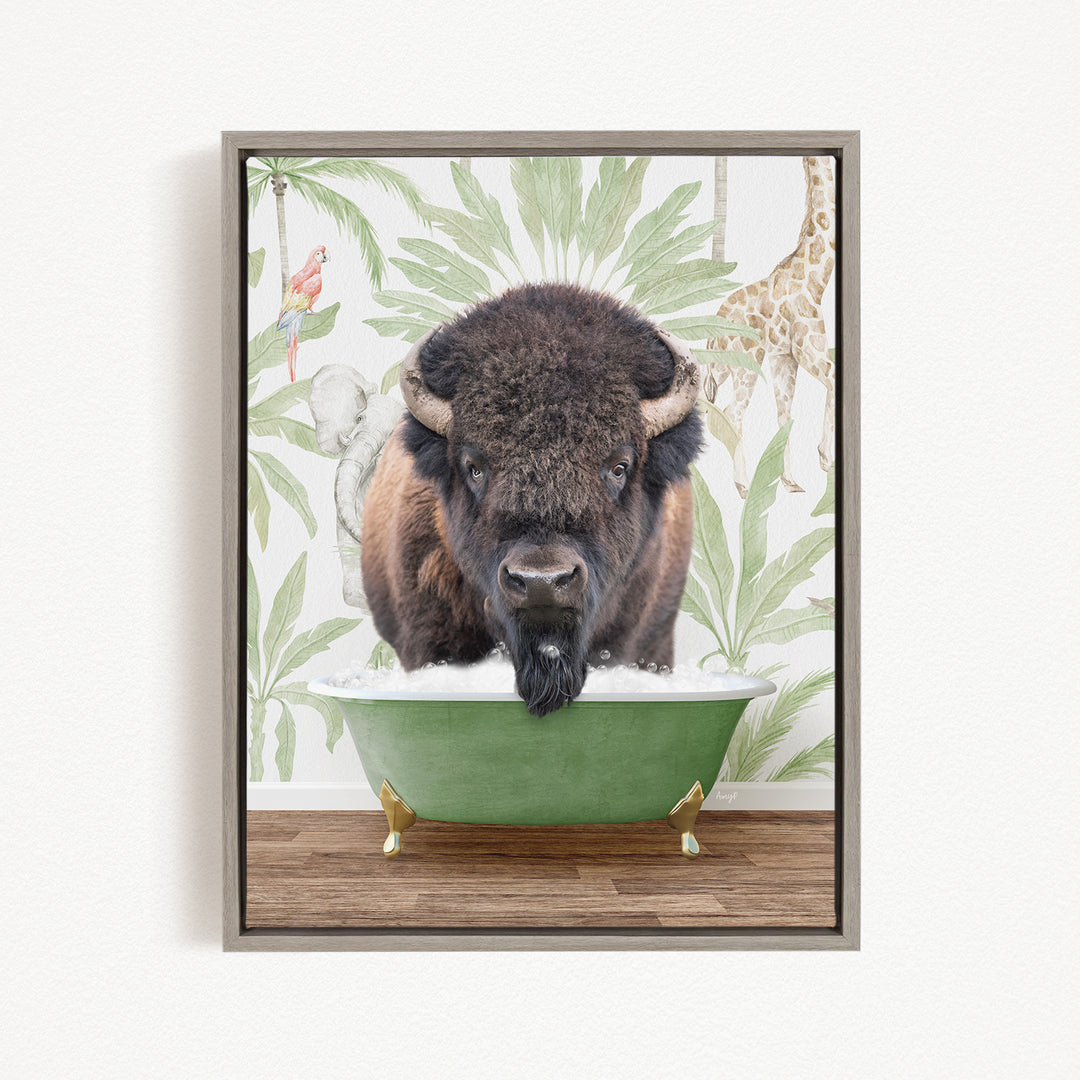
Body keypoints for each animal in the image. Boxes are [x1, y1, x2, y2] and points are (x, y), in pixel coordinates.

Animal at [705, 156, 836, 497]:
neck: (816, 279)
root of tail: (712, 340)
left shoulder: (783, 357)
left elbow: (784, 415)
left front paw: (790, 480)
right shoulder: (809, 349)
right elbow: (832, 382)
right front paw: (825, 458)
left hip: (723, 370)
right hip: (747, 365)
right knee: (733, 413)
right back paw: (742, 485)